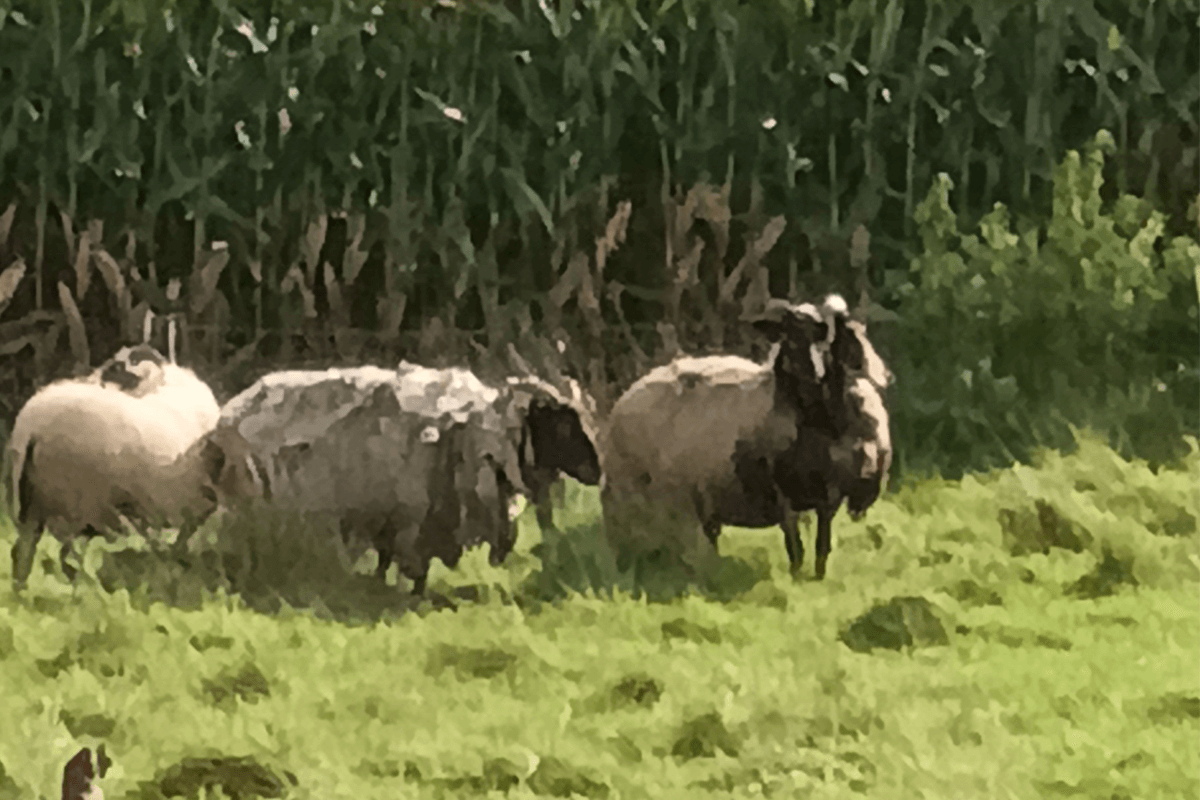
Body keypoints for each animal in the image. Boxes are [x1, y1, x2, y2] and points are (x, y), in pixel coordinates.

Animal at [8, 340, 223, 592]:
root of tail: (32, 425)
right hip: (76, 500)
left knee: (25, 550)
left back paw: (22, 589)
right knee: (67, 554)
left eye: (116, 370)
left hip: (33, 500)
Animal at [202, 362, 604, 594]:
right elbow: (414, 571)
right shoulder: (412, 521)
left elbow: (387, 561)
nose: (598, 471)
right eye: (563, 426)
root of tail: (229, 412)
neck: (475, 433)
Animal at [600, 291, 892, 578]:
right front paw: (796, 578)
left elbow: (822, 547)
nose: (814, 370)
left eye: (827, 333)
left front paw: (816, 578)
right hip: (642, 494)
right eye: (790, 333)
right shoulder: (780, 492)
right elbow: (795, 546)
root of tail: (625, 398)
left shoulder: (831, 495)